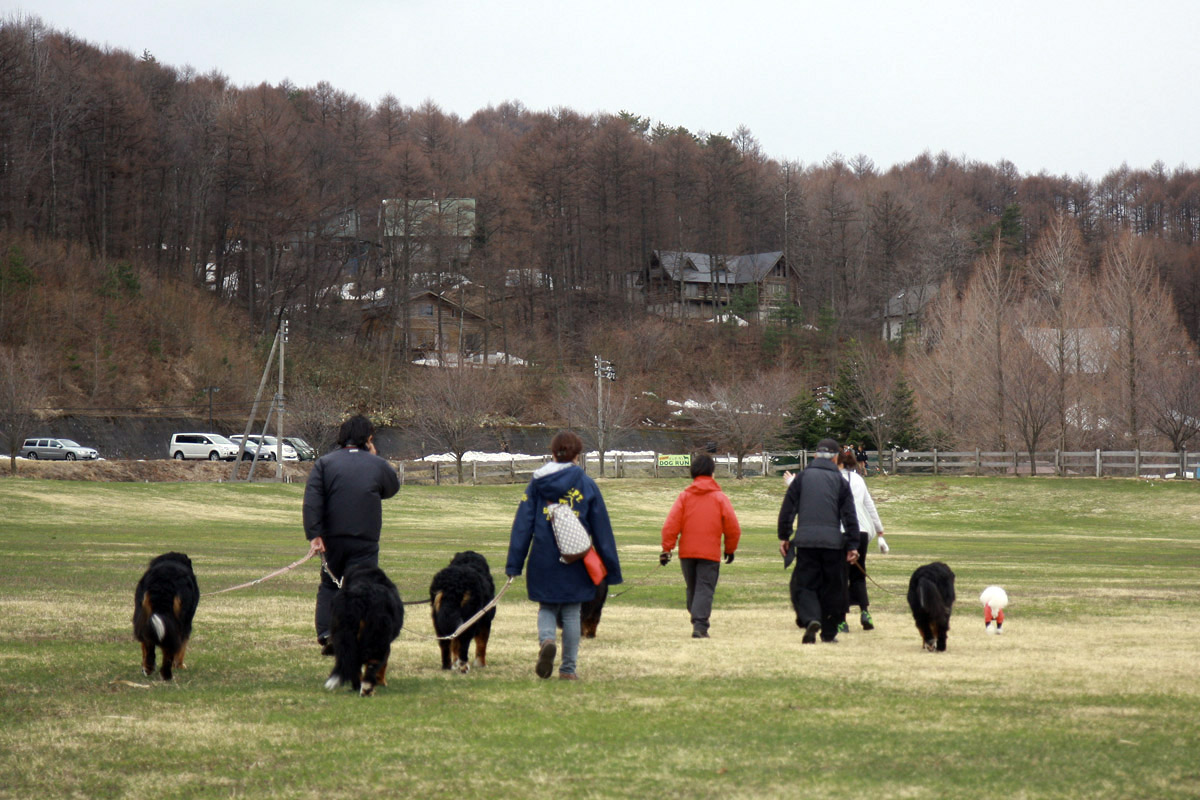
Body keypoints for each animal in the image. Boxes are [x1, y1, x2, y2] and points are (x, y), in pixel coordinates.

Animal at [132, 551, 198, 681]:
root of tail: (163, 581)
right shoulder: (187, 624)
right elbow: (182, 645)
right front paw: (179, 665)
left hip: (143, 614)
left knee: (148, 643)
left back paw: (148, 668)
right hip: (180, 621)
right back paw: (166, 674)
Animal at [326, 563, 405, 695]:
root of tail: (358, 597)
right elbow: (383, 665)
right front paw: (382, 681)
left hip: (342, 634)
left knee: (352, 663)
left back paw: (357, 686)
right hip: (378, 639)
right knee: (372, 665)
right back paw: (367, 689)